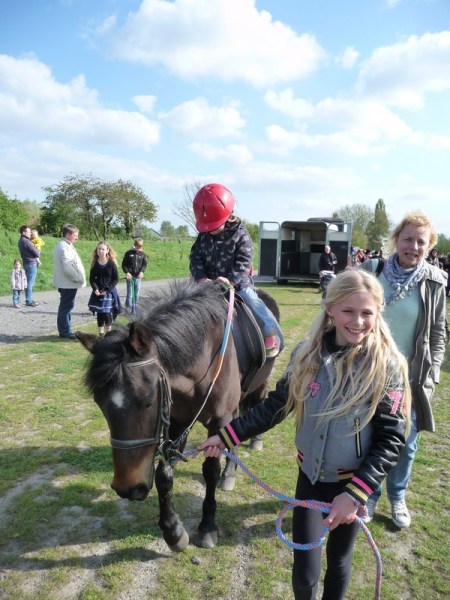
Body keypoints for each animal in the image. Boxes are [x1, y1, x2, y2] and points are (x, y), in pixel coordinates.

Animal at [79, 278, 280, 552]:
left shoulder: (218, 421)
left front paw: (207, 526)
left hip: (258, 386)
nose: (127, 488)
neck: (205, 359)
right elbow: (164, 475)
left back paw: (250, 448)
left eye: (148, 400)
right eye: (100, 404)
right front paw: (173, 531)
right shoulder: (177, 421)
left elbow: (210, 469)